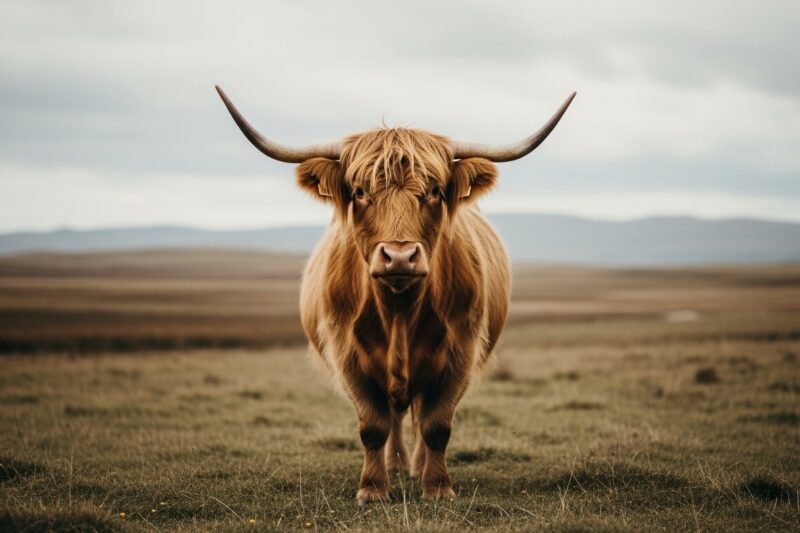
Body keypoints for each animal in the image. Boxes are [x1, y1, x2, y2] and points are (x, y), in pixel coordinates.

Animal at [215, 86, 575, 503]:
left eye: (434, 191)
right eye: (359, 191)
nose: (400, 256)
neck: (399, 310)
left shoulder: (461, 352)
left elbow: (437, 424)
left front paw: (437, 488)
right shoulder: (347, 355)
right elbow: (373, 425)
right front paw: (372, 489)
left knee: (415, 414)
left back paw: (415, 466)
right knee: (396, 415)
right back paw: (397, 464)